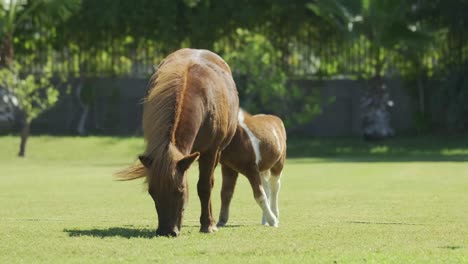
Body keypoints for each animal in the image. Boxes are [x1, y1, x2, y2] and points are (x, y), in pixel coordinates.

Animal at [117, 49, 238, 237]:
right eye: (152, 192)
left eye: (180, 191)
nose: (167, 231)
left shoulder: (210, 151)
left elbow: (205, 186)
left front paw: (207, 224)